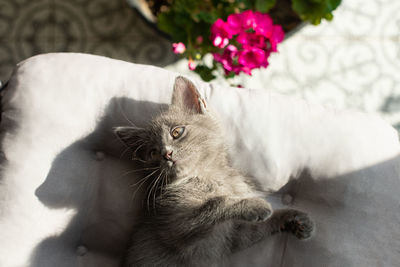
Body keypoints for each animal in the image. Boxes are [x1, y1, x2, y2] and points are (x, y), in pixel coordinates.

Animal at [114, 77, 314, 267]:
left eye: (177, 132)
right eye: (153, 152)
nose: (166, 154)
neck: (207, 176)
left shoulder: (231, 236)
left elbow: (253, 230)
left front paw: (293, 218)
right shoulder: (174, 227)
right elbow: (215, 203)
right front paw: (254, 205)